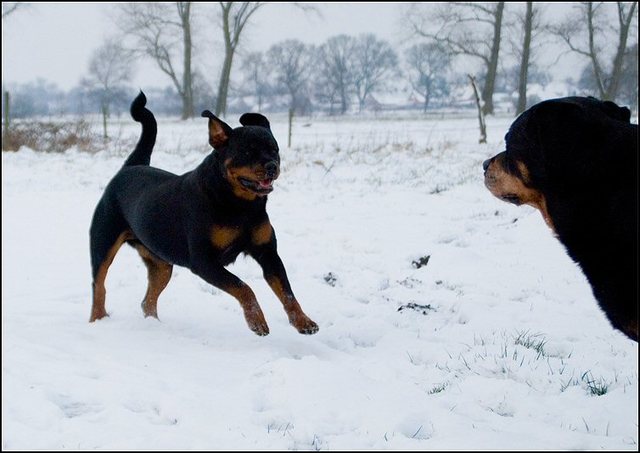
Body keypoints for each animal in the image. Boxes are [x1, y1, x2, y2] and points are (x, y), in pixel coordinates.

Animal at [89, 92, 318, 336]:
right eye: (247, 151)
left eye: (275, 149)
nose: (272, 166)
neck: (241, 205)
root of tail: (129, 167)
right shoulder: (204, 261)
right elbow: (243, 287)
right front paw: (257, 321)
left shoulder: (268, 253)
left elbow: (287, 292)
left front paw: (303, 321)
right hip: (103, 243)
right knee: (99, 285)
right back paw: (98, 320)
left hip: (161, 264)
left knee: (148, 300)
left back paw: (154, 325)